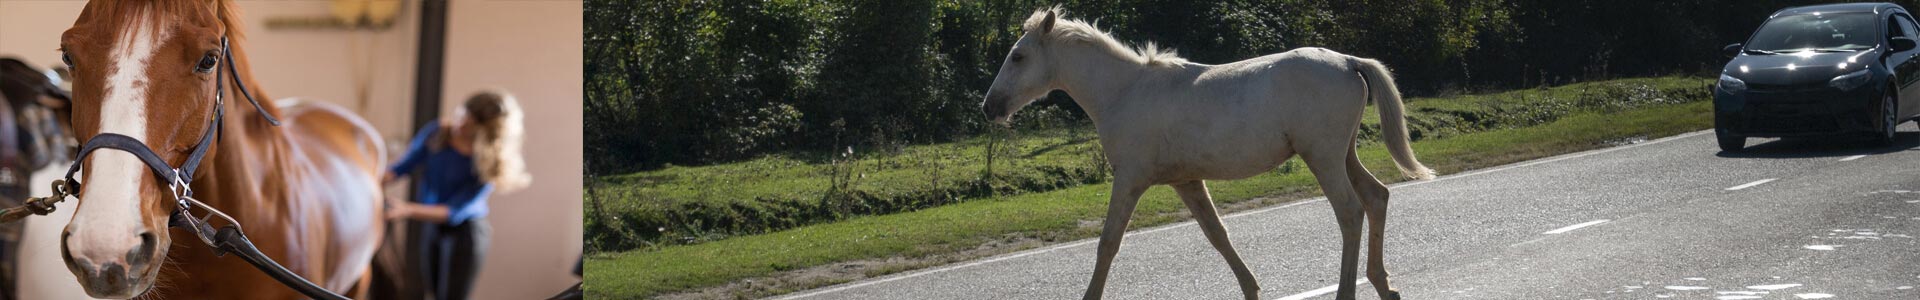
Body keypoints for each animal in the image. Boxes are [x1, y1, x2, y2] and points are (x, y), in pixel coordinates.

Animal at [983, 6, 1436, 300]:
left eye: (1018, 56)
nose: (990, 107)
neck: (1125, 92)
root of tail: (1347, 60)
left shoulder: (1129, 179)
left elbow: (1108, 242)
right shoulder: (1186, 181)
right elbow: (1217, 235)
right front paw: (1252, 289)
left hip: (1323, 158)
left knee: (1350, 211)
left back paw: (1349, 290)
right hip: (1343, 154)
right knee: (1377, 197)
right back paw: (1384, 285)